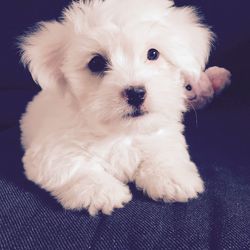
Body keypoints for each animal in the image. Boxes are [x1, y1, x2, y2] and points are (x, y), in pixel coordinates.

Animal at [20, 0, 213, 215]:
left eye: (153, 54)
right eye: (96, 62)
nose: (136, 93)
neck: (120, 133)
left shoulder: (162, 134)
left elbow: (164, 152)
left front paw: (171, 177)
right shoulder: (51, 150)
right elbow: (73, 167)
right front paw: (100, 191)